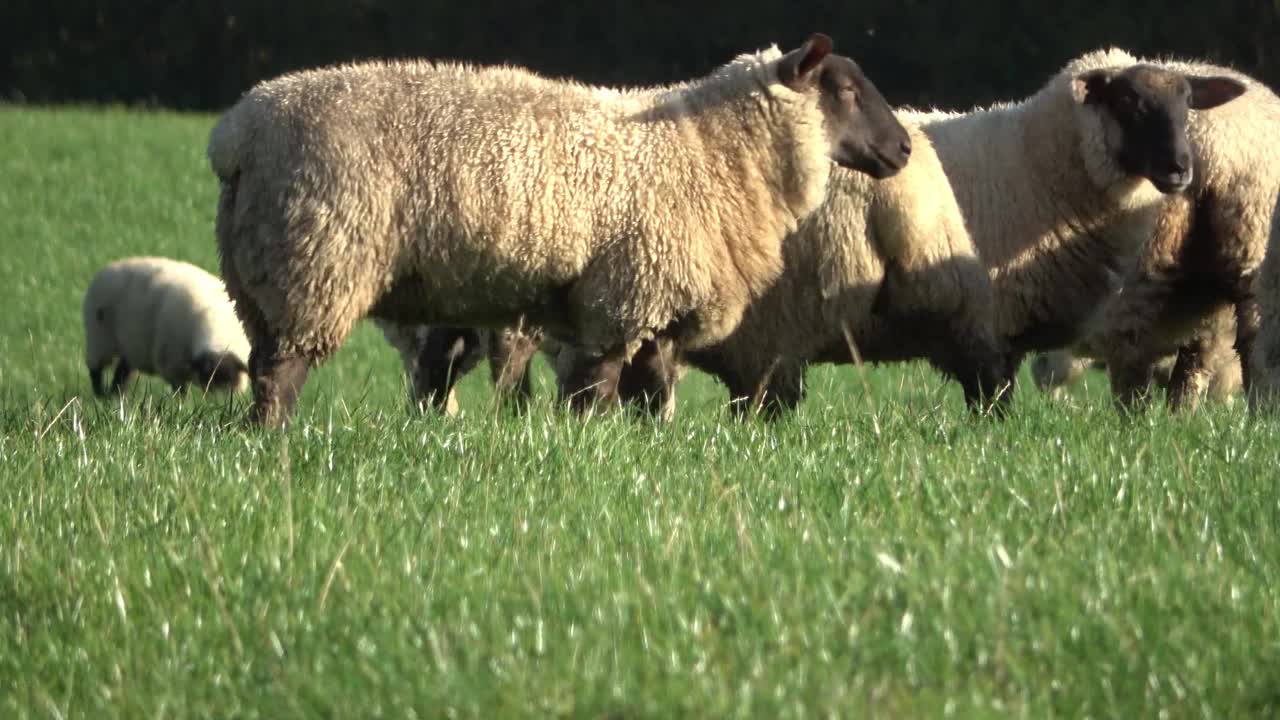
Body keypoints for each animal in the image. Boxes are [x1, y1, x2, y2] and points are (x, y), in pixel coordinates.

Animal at [82, 254, 249, 394]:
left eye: (230, 380)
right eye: (207, 378)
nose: (217, 403)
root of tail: (106, 269)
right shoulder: (171, 365)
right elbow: (180, 391)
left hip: (129, 346)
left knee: (123, 371)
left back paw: (117, 396)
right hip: (99, 336)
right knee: (95, 369)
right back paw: (100, 395)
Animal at [209, 35, 911, 425]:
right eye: (847, 89)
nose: (903, 148)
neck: (709, 149)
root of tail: (238, 133)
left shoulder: (651, 303)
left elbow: (650, 392)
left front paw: (646, 447)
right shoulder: (622, 295)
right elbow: (598, 391)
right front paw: (589, 449)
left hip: (255, 274)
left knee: (266, 362)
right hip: (314, 262)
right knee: (280, 374)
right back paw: (274, 442)